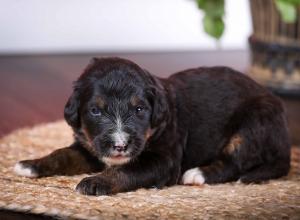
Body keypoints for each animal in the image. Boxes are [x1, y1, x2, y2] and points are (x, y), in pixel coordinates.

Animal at [14, 57, 290, 196]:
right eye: (95, 110)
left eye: (139, 110)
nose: (120, 146)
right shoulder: (91, 146)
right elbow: (63, 154)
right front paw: (31, 164)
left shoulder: (164, 160)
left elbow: (127, 170)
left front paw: (95, 182)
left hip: (252, 124)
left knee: (234, 164)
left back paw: (197, 174)